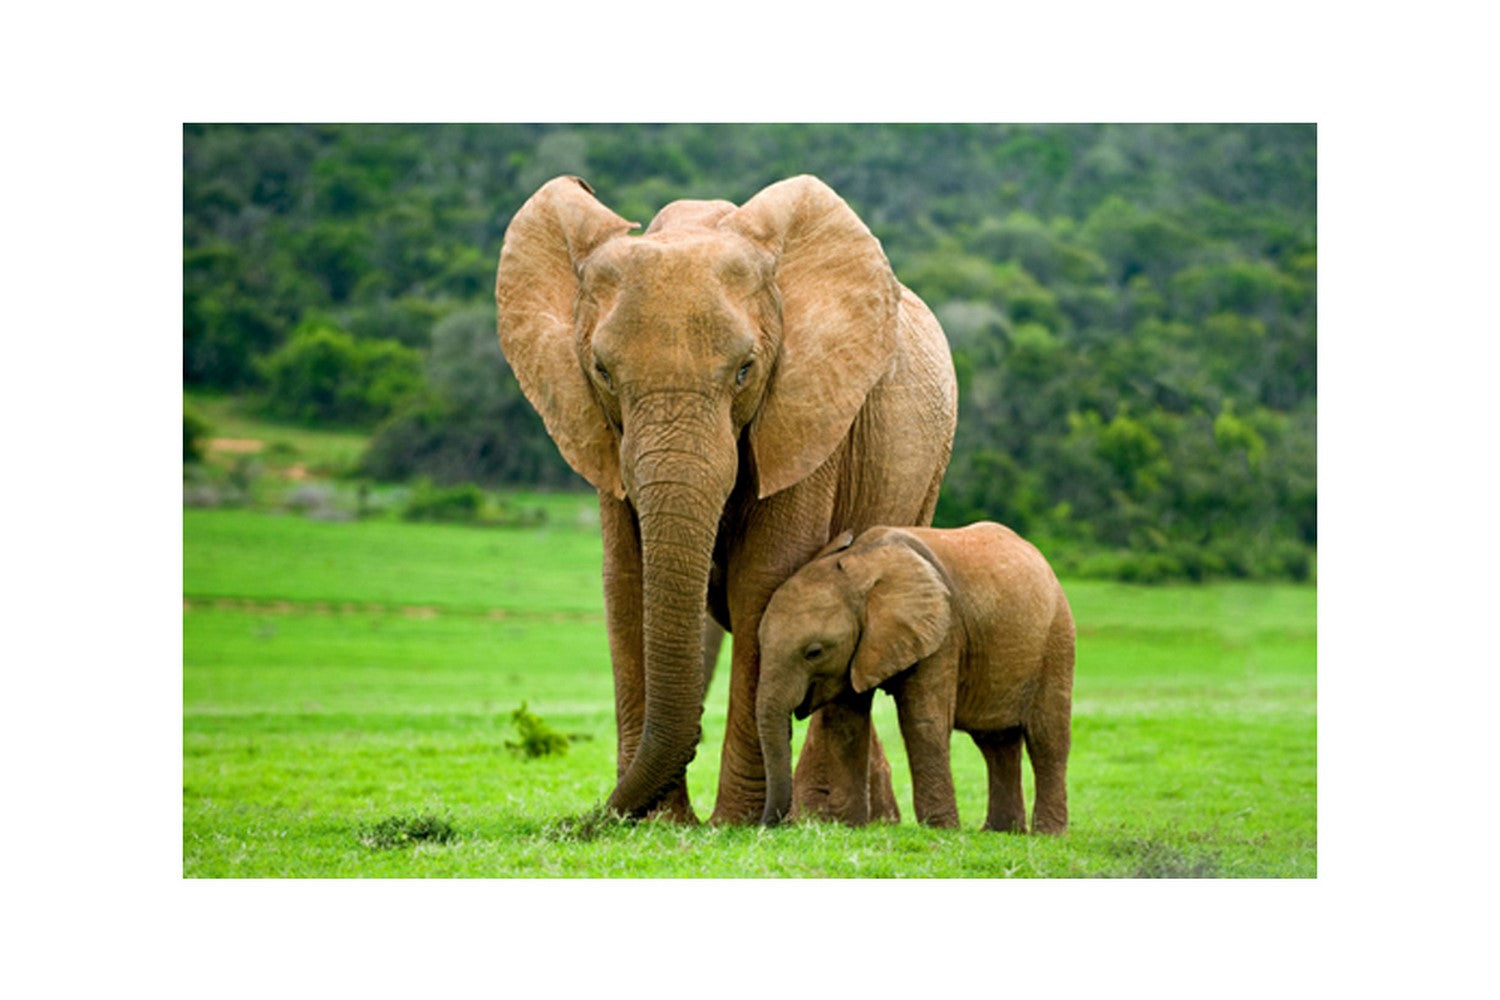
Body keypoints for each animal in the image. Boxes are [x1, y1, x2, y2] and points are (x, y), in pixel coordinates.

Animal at [495, 174, 957, 824]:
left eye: (744, 370)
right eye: (602, 372)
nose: (591, 821)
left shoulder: (806, 409)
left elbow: (763, 580)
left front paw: (734, 824)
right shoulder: (602, 435)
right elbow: (627, 580)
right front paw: (660, 823)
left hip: (927, 468)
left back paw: (828, 817)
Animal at [756, 522, 1075, 833]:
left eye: (814, 652)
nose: (767, 825)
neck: (861, 566)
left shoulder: (942, 633)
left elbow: (923, 721)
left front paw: (941, 830)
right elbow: (846, 725)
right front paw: (850, 827)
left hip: (1057, 638)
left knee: (1047, 738)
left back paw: (1048, 834)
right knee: (995, 742)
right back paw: (999, 832)